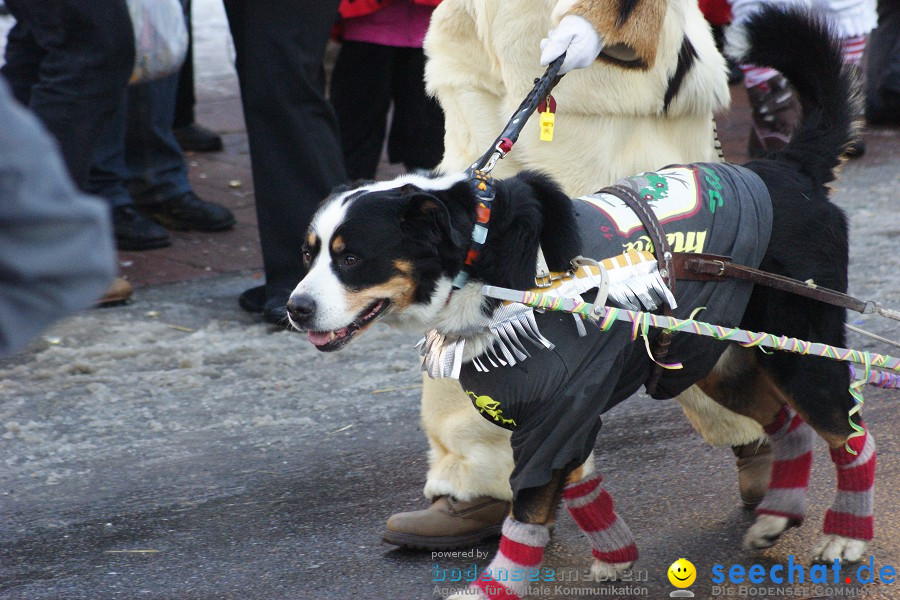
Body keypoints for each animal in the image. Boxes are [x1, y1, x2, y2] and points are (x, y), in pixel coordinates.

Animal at [286, 5, 872, 592]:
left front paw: (493, 588)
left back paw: (847, 535)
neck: (487, 262)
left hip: (800, 354)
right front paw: (615, 553)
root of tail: (788, 168)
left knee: (849, 437)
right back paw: (777, 514)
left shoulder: (559, 410)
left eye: (351, 258)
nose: (294, 309)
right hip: (715, 360)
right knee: (788, 425)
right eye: (309, 252)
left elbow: (527, 514)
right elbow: (574, 486)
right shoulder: (540, 410)